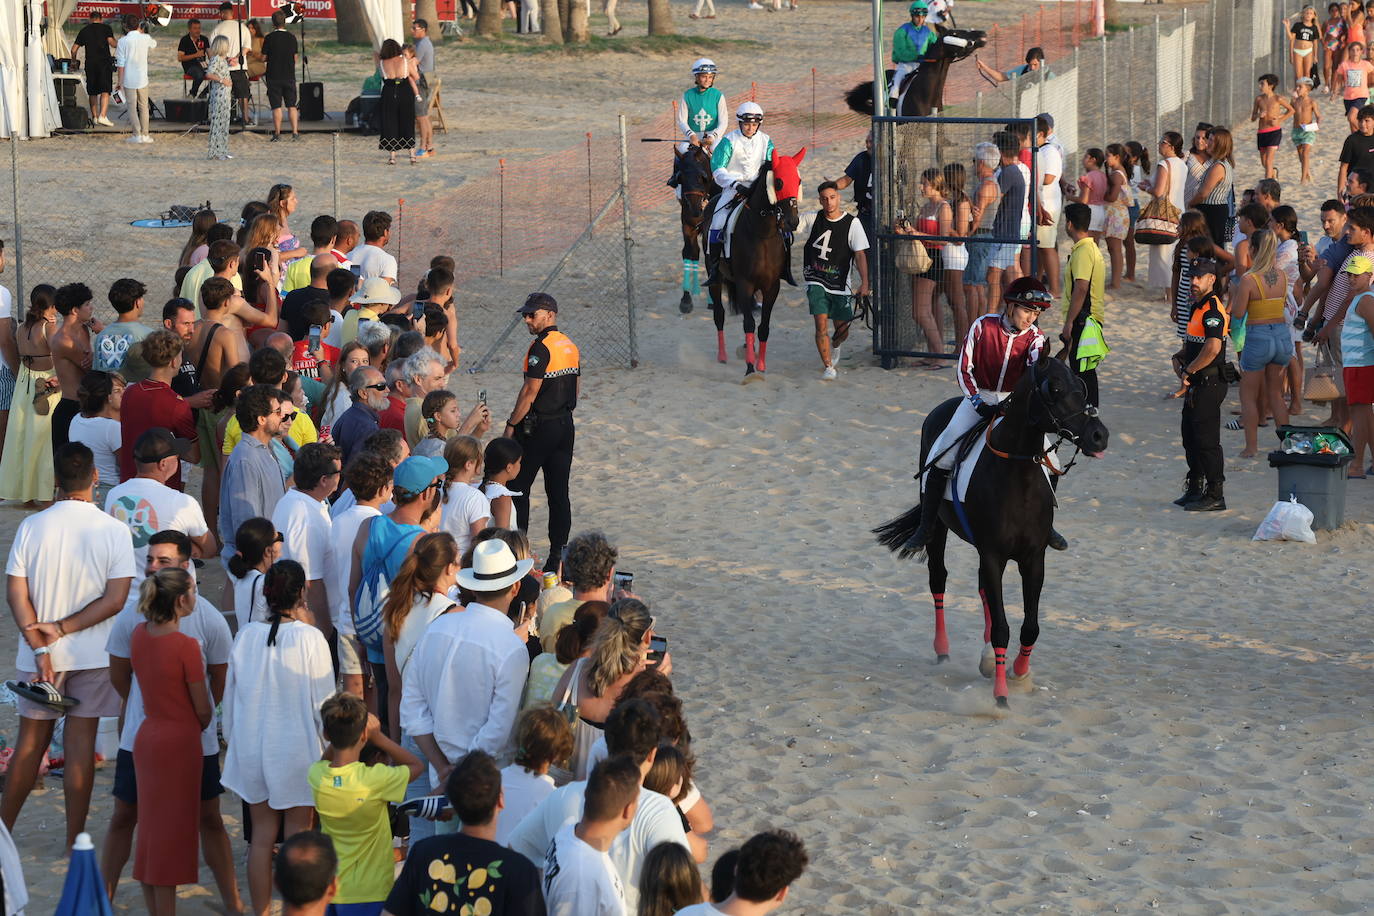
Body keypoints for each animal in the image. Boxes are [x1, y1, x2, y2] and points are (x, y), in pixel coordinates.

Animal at [674, 145, 717, 315]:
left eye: (702, 176)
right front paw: (686, 299)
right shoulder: (688, 226)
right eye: (681, 178)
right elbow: (688, 253)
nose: (694, 209)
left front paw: (713, 300)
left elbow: (709, 258)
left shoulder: (710, 230)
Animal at [701, 148, 805, 380]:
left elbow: (764, 326)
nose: (793, 221)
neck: (762, 234)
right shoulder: (744, 284)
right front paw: (750, 368)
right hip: (716, 279)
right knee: (719, 315)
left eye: (799, 180)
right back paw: (722, 356)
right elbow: (748, 324)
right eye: (780, 182)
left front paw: (761, 365)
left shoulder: (772, 287)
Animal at [873, 350, 1109, 708]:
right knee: (938, 579)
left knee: (982, 587)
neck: (1017, 479)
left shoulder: (1032, 558)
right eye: (1053, 388)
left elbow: (1029, 627)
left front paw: (1019, 672)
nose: (1099, 435)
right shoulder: (994, 554)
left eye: (1081, 385)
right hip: (939, 527)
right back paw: (943, 650)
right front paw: (1000, 695)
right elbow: (1001, 627)